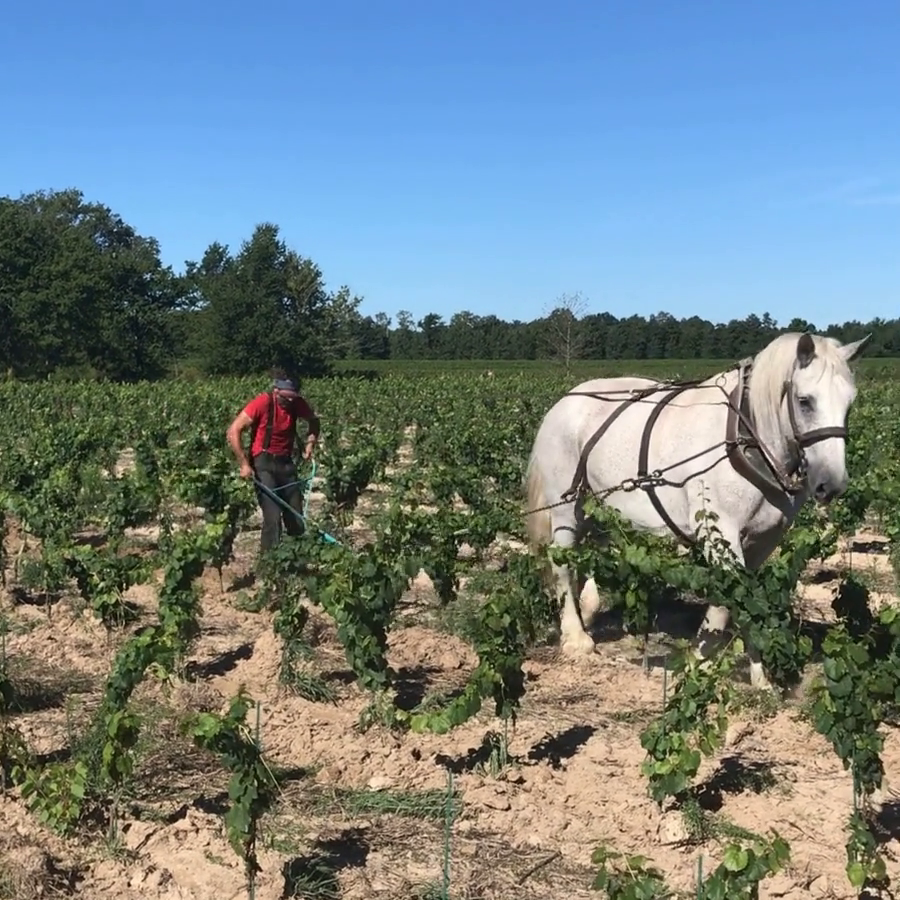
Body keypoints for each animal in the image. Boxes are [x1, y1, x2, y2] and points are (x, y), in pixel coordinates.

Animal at [528, 332, 872, 688]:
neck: (745, 440)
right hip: (567, 508)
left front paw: (759, 676)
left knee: (591, 554)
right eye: (805, 401)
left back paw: (589, 610)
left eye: (849, 403)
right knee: (562, 562)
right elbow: (725, 604)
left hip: (601, 508)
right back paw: (576, 637)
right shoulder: (718, 534)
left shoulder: (763, 541)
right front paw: (700, 663)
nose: (831, 484)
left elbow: (746, 600)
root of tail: (566, 400)